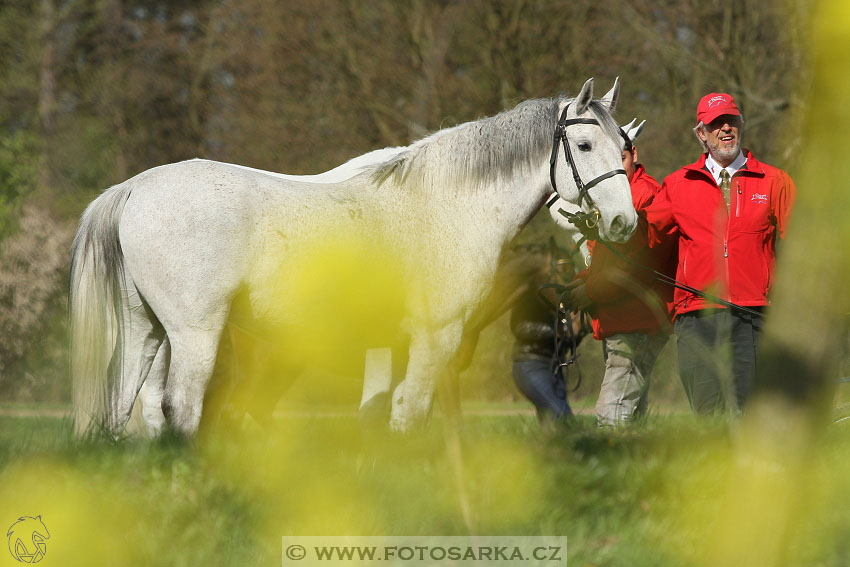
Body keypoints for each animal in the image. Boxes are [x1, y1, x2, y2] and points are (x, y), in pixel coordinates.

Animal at [71, 77, 636, 438]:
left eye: (625, 148)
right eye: (585, 145)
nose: (623, 223)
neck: (445, 205)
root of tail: (134, 188)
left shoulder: (394, 347)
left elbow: (386, 416)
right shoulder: (436, 338)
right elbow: (411, 418)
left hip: (145, 330)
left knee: (124, 406)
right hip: (195, 334)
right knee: (183, 408)